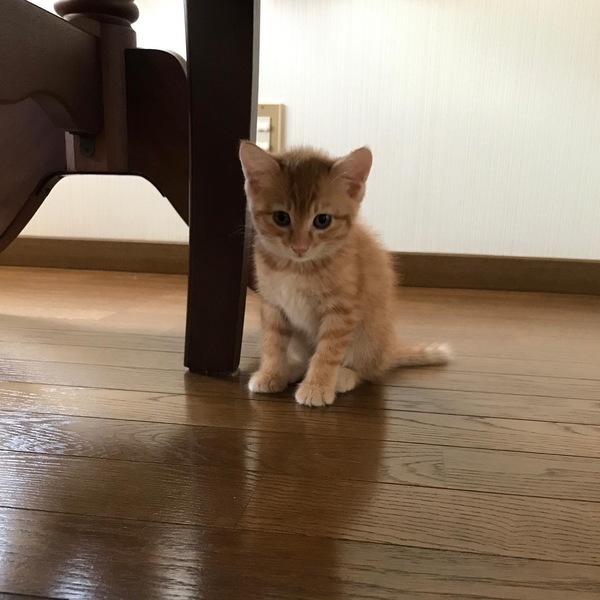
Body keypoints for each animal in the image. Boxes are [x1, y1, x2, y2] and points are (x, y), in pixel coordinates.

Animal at [239, 141, 451, 407]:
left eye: (322, 220)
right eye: (280, 217)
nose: (300, 247)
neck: (297, 267)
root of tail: (387, 351)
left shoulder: (342, 311)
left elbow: (327, 351)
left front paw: (317, 386)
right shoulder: (272, 305)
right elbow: (272, 342)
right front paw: (272, 373)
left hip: (369, 333)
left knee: (367, 371)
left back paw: (342, 376)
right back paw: (292, 369)